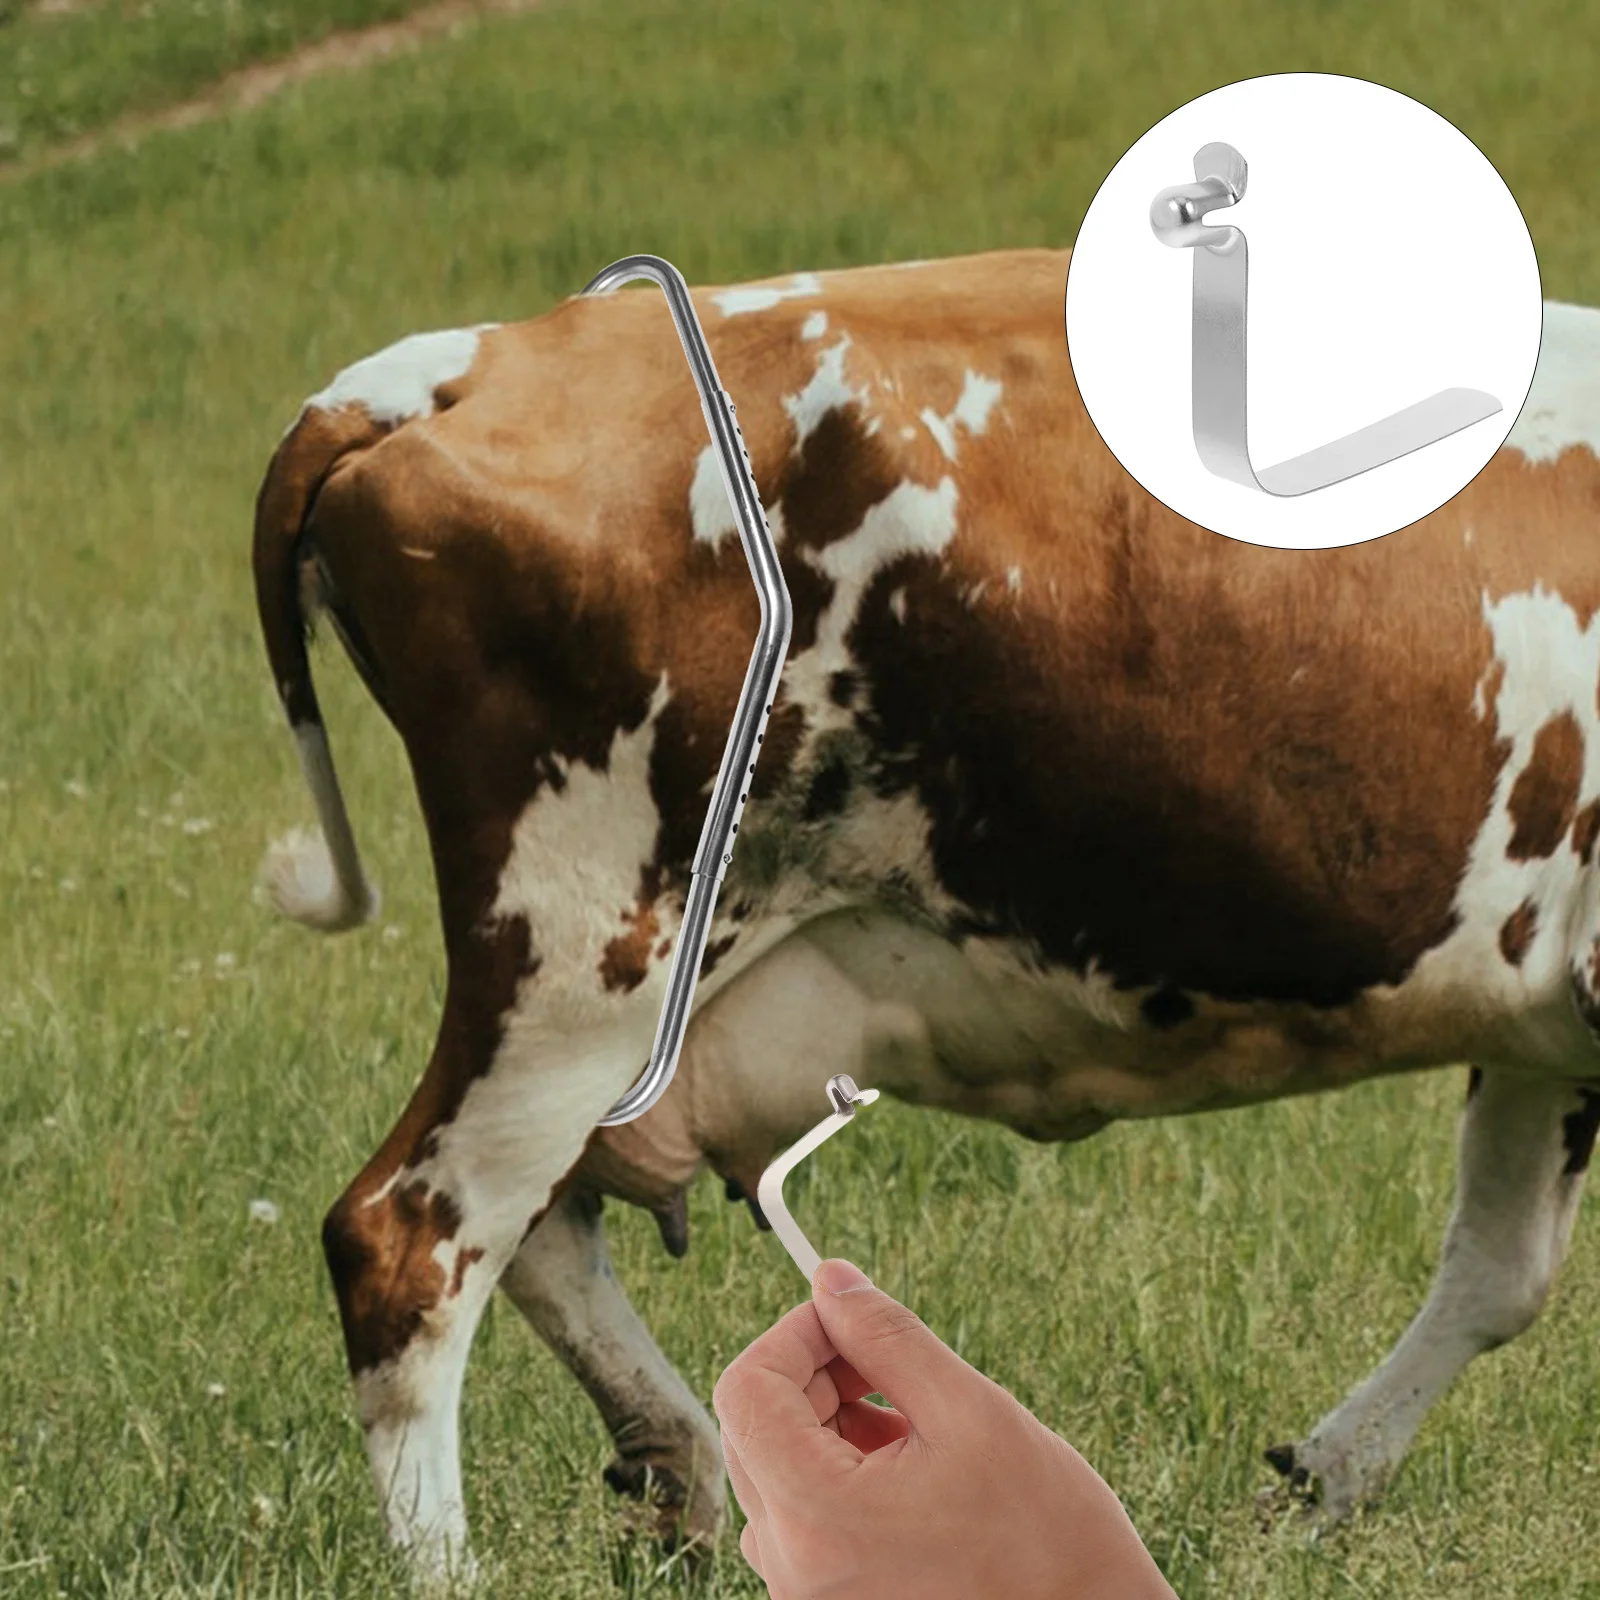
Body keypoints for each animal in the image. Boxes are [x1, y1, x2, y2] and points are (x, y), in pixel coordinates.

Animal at [253, 247, 1600, 1578]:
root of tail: (461, 362)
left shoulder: (1542, 1020)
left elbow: (1500, 1269)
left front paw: (1317, 1482)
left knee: (537, 1228)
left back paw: (685, 1467)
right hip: (587, 949)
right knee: (411, 1242)